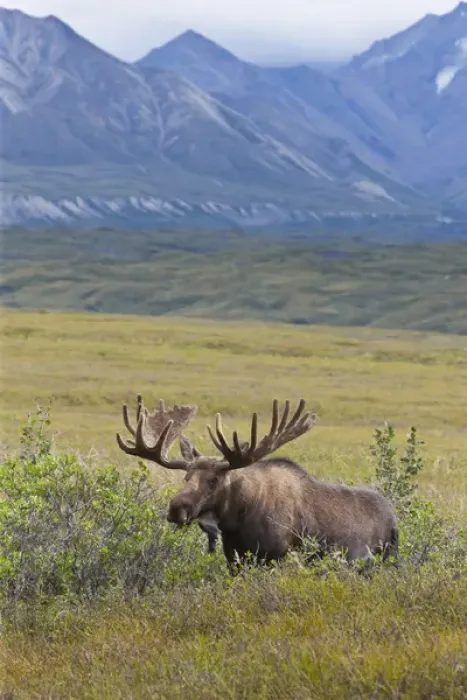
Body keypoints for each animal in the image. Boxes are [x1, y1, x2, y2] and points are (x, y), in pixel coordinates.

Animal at [116, 395, 398, 573]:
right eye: (186, 477)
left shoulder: (277, 557)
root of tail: (394, 520)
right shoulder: (235, 559)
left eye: (214, 480)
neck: (236, 521)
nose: (177, 508)